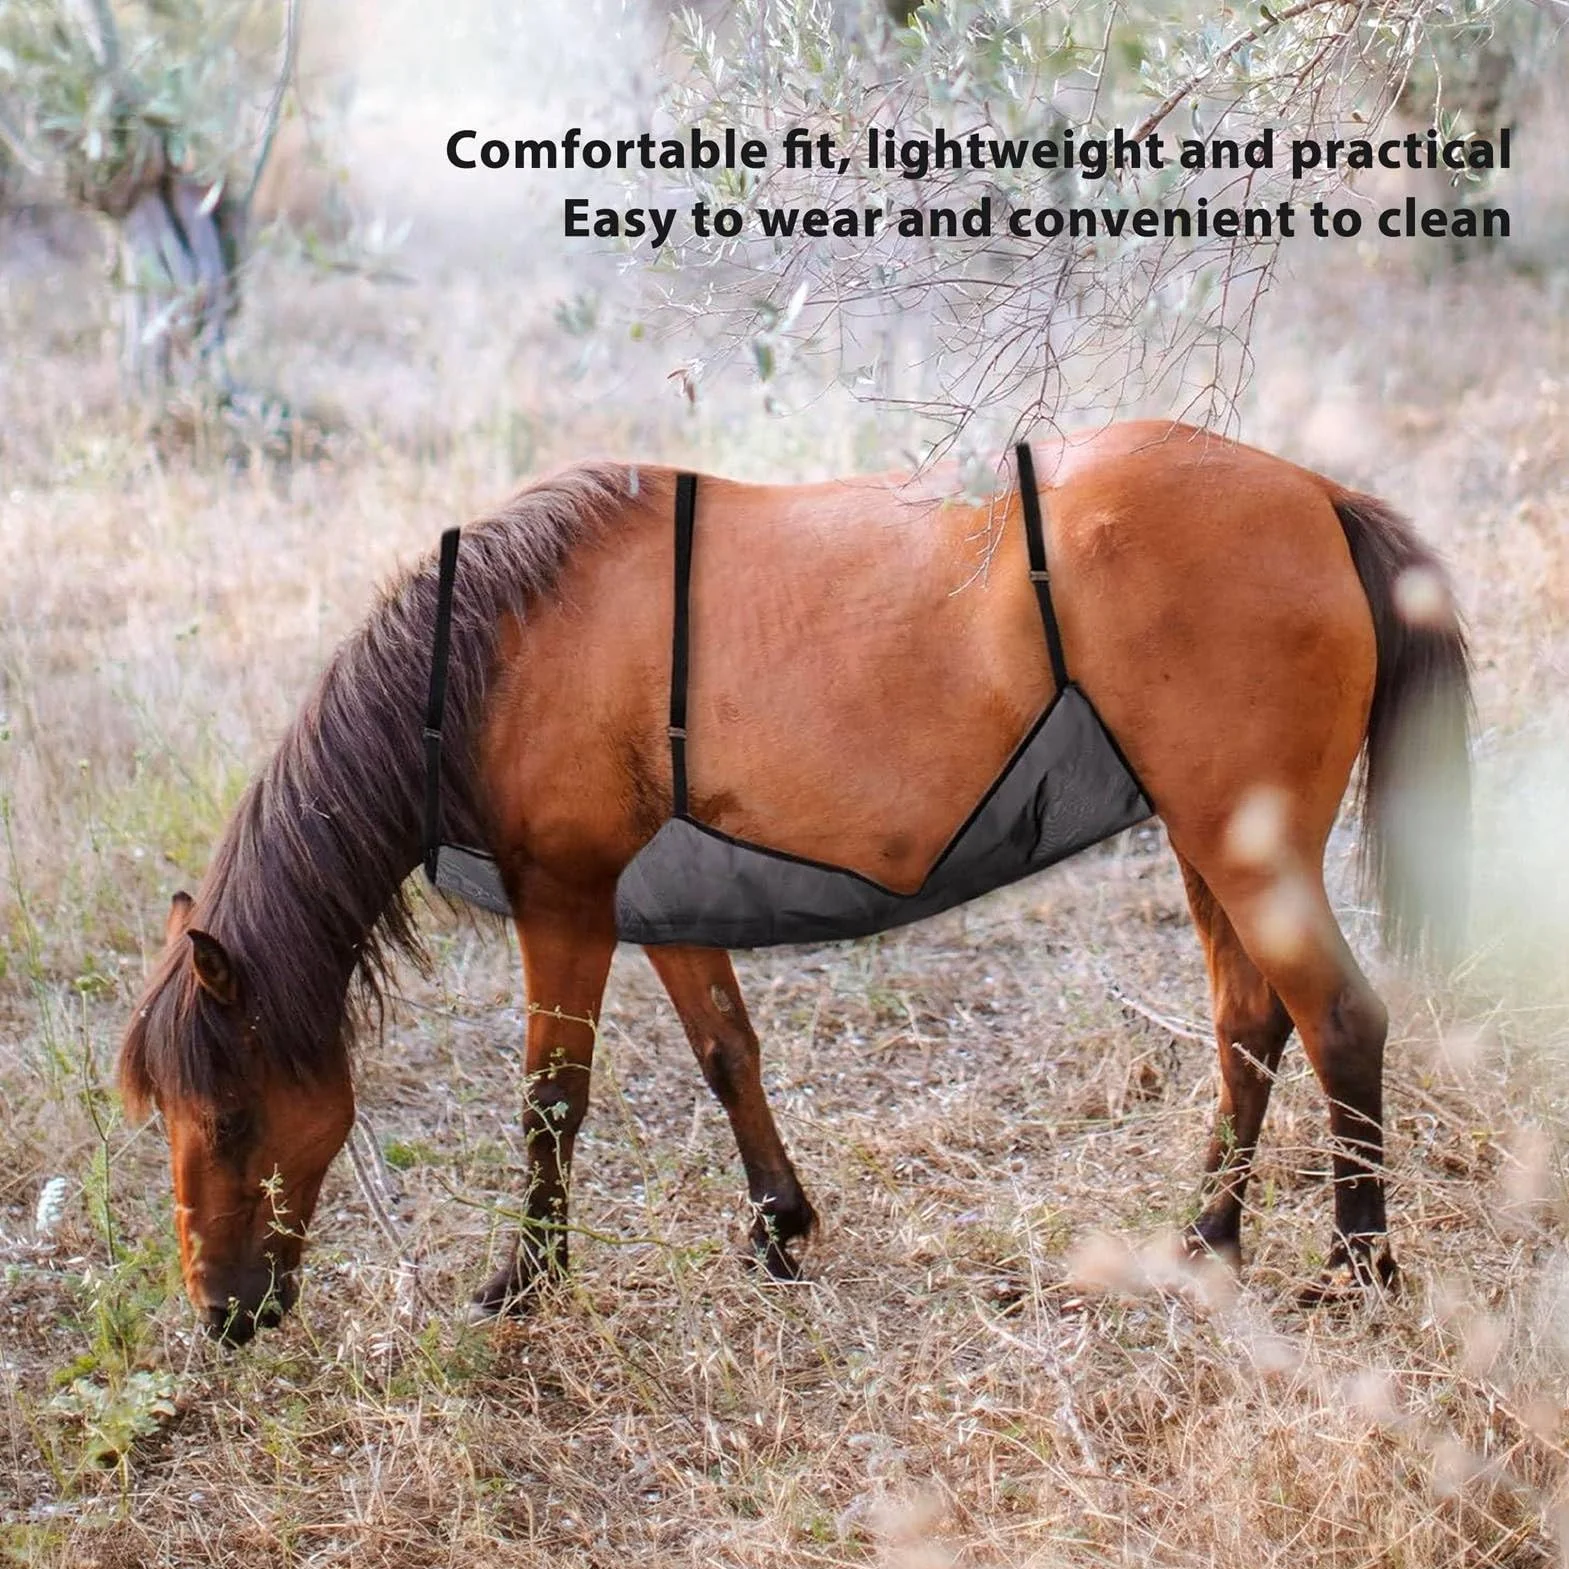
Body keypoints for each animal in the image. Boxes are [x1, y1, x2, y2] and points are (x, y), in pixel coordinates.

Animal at [118, 420, 1470, 1344]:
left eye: (230, 1116)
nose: (222, 1316)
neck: (497, 650)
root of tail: (1321, 495)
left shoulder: (565, 904)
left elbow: (552, 1097)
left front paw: (528, 1277)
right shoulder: (658, 908)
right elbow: (728, 1051)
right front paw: (779, 1224)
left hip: (1245, 851)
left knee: (1339, 1021)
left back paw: (1357, 1267)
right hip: (1206, 848)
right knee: (1250, 1026)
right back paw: (1205, 1242)